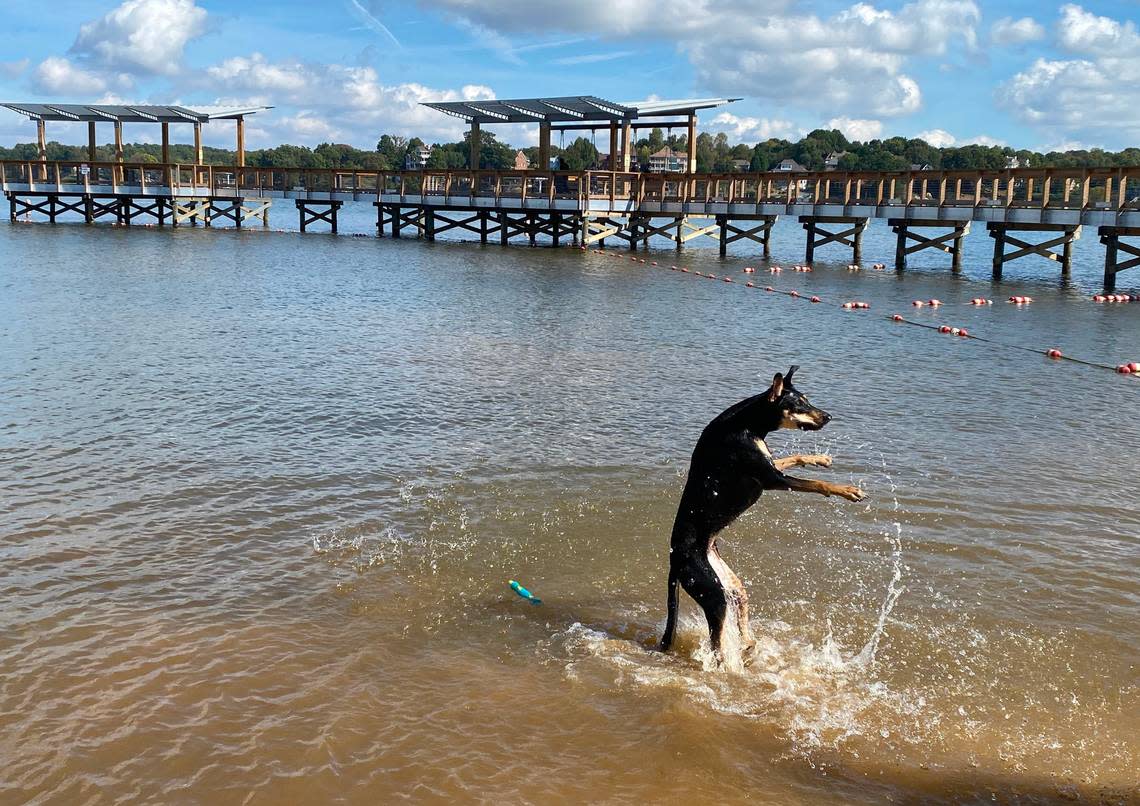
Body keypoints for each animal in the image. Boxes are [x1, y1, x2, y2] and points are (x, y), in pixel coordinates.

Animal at [661, 364, 861, 661]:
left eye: (807, 399)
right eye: (799, 404)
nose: (828, 417)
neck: (747, 423)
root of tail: (675, 561)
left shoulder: (770, 467)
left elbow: (793, 457)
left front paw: (819, 459)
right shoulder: (771, 478)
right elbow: (815, 484)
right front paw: (847, 490)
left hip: (729, 584)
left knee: (739, 607)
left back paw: (748, 644)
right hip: (712, 594)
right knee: (718, 646)